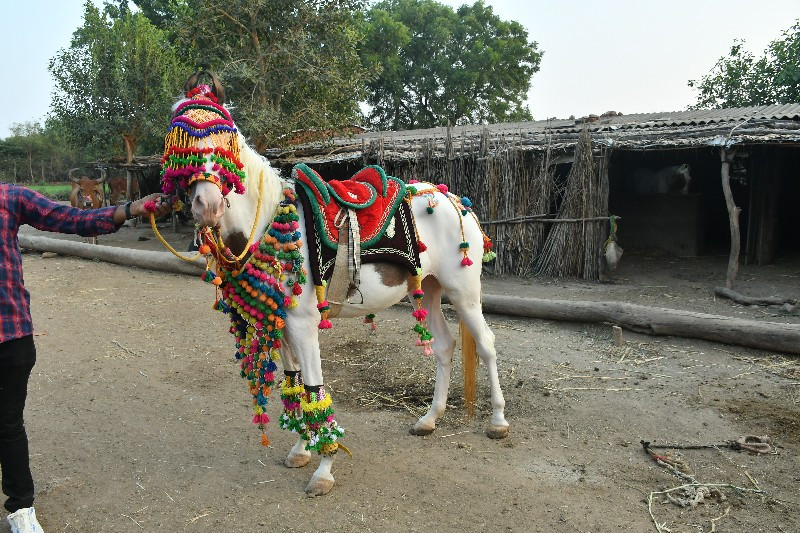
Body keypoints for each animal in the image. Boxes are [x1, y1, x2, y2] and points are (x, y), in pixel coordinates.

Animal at [153, 71, 510, 494]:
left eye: (228, 139)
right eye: (179, 139)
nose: (207, 205)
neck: (271, 220)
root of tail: (455, 200)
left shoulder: (304, 323)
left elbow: (313, 386)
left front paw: (324, 468)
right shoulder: (283, 323)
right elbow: (293, 383)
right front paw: (302, 449)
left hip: (464, 292)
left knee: (486, 344)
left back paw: (498, 421)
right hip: (431, 290)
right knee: (444, 346)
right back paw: (429, 419)